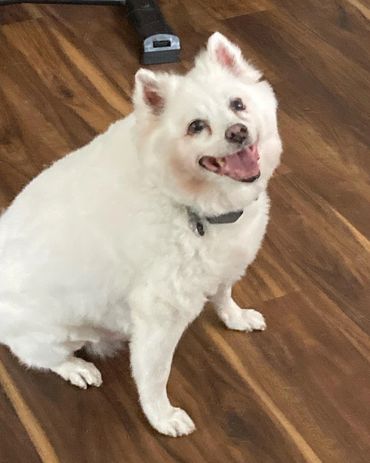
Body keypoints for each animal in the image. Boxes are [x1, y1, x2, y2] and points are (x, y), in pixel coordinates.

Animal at [0, 33, 280, 438]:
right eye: (196, 126)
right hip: (56, 334)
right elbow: (154, 377)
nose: (238, 131)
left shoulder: (226, 263)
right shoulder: (159, 317)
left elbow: (224, 295)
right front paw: (162, 417)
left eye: (238, 104)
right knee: (39, 356)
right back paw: (77, 368)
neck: (192, 205)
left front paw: (236, 317)